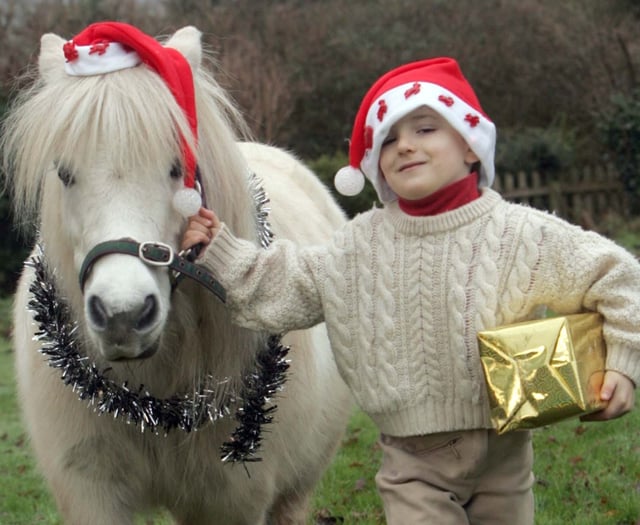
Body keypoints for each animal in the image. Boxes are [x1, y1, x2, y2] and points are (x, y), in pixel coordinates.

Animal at [1, 25, 352, 525]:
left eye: (176, 168)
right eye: (65, 173)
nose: (123, 316)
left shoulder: (229, 504)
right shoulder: (92, 493)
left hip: (294, 491)